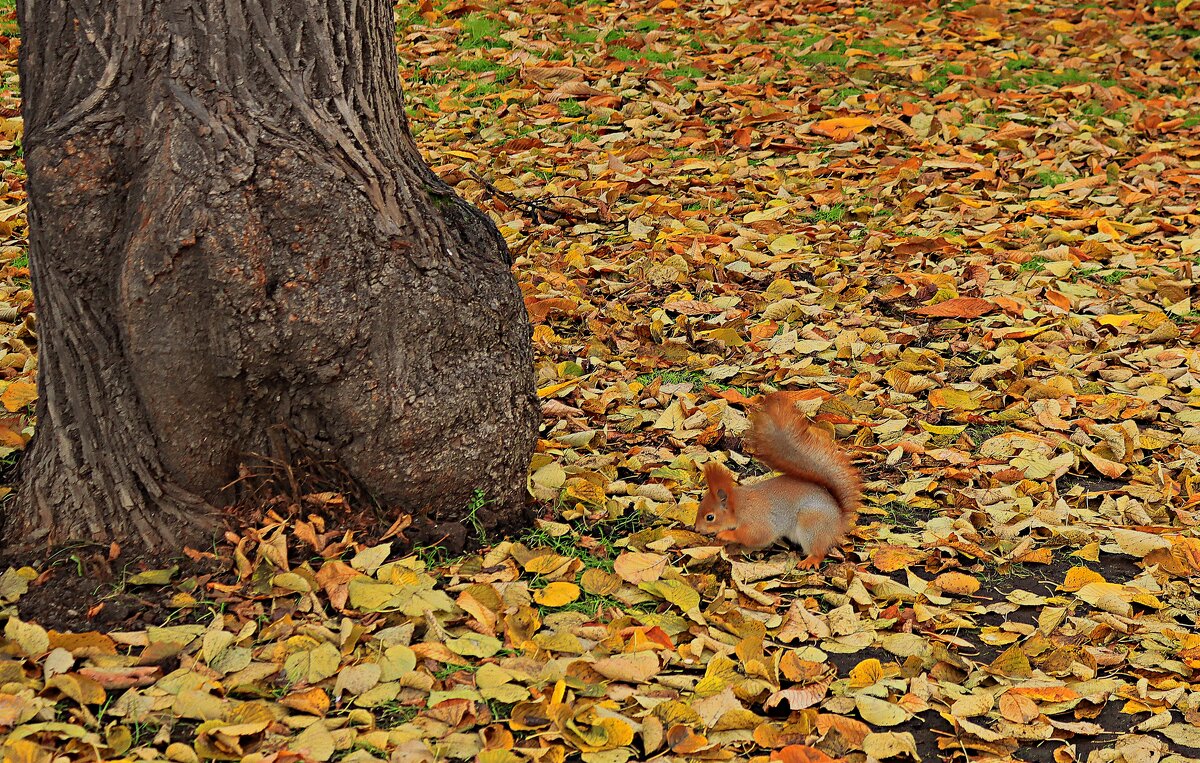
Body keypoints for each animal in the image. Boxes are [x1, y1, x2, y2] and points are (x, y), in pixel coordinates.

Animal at [696, 393, 864, 566]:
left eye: (710, 517)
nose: (696, 529)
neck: (739, 505)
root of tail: (839, 521)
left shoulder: (757, 521)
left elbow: (755, 536)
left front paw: (726, 535)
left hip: (811, 526)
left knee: (819, 551)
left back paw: (810, 560)